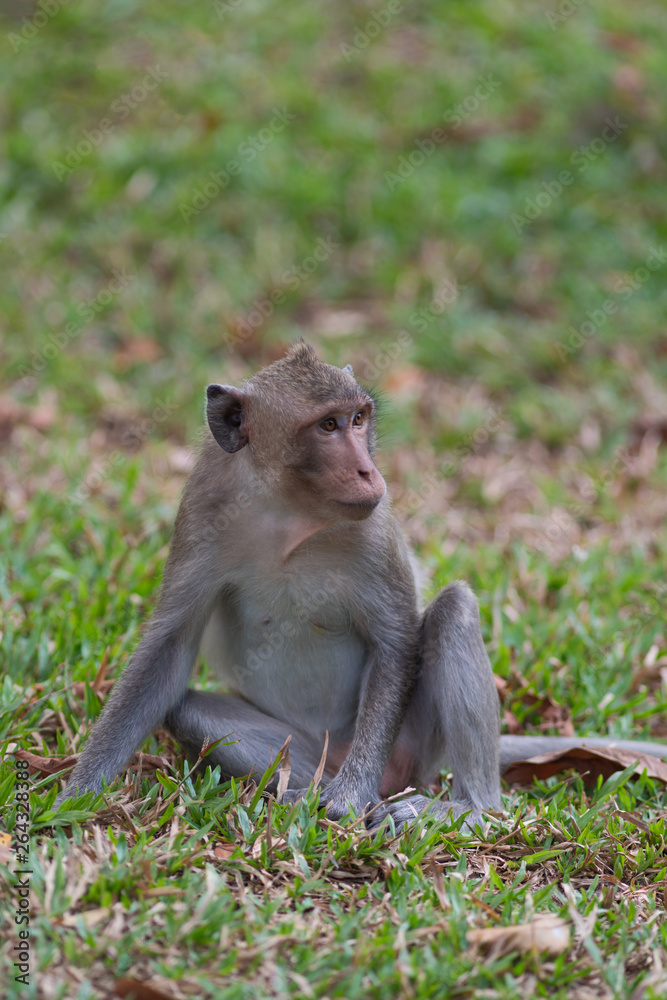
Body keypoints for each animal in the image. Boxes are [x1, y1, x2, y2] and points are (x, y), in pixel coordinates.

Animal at [56, 342, 667, 827]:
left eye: (358, 419)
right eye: (327, 426)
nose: (367, 471)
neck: (290, 511)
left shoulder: (374, 525)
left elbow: (395, 641)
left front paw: (350, 799)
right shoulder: (202, 509)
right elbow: (170, 647)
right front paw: (76, 796)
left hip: (411, 746)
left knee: (453, 611)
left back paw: (467, 809)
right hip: (312, 747)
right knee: (190, 713)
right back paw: (301, 793)